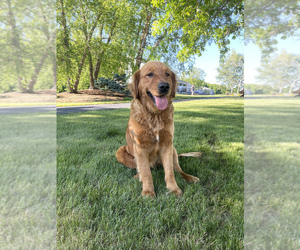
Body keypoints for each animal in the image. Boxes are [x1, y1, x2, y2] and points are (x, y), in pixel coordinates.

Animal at [116, 61, 198, 197]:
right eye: (150, 74)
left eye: (167, 74)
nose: (164, 86)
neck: (154, 115)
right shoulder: (140, 147)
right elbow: (146, 172)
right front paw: (148, 191)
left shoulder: (167, 144)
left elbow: (170, 171)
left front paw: (173, 188)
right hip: (120, 151)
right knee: (143, 169)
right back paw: (138, 176)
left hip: (173, 150)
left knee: (178, 169)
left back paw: (189, 177)